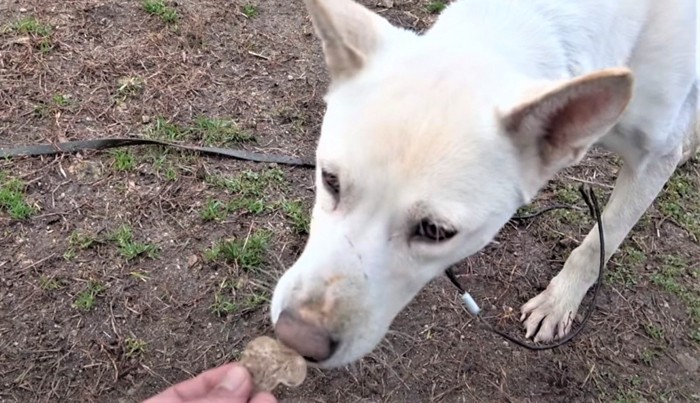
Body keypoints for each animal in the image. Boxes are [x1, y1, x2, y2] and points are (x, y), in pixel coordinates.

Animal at [268, 0, 696, 370]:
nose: (296, 338)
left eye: (436, 232)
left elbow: (597, 244)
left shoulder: (652, 161)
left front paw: (559, 301)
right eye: (330, 180)